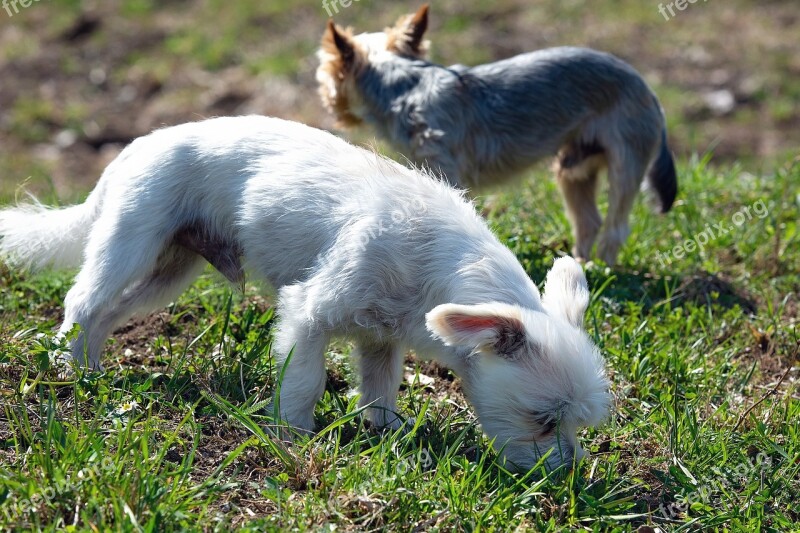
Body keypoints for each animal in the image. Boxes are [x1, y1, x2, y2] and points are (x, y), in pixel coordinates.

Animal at [0, 116, 608, 470]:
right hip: (131, 242)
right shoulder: (307, 314)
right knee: (82, 301)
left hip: (168, 273)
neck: (435, 259)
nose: (570, 471)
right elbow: (305, 382)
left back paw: (92, 369)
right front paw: (291, 436)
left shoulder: (382, 338)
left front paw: (385, 430)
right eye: (544, 420)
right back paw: (66, 368)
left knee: (108, 314)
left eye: (577, 425)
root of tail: (134, 147)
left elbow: (379, 388)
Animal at [316, 6, 680, 266]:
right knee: (588, 219)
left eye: (325, 77)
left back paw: (604, 270)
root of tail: (650, 92)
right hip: (574, 166)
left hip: (626, 156)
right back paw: (580, 266)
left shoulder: (444, 167)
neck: (404, 86)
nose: (329, 104)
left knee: (616, 226)